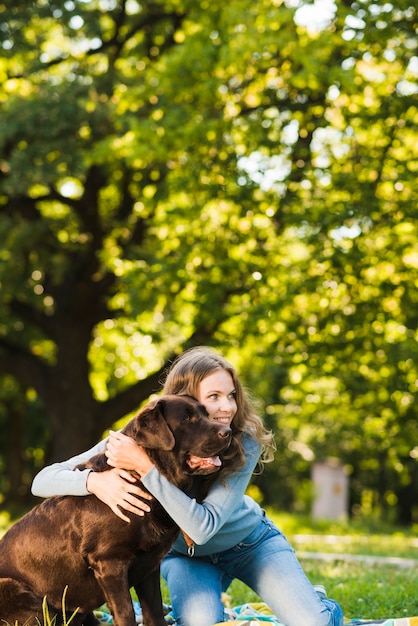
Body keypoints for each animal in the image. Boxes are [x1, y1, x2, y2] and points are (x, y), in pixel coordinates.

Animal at [0, 394, 232, 624]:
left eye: (207, 414)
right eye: (186, 418)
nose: (228, 432)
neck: (141, 479)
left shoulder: (149, 563)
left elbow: (154, 611)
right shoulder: (109, 561)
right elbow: (126, 612)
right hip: (11, 586)